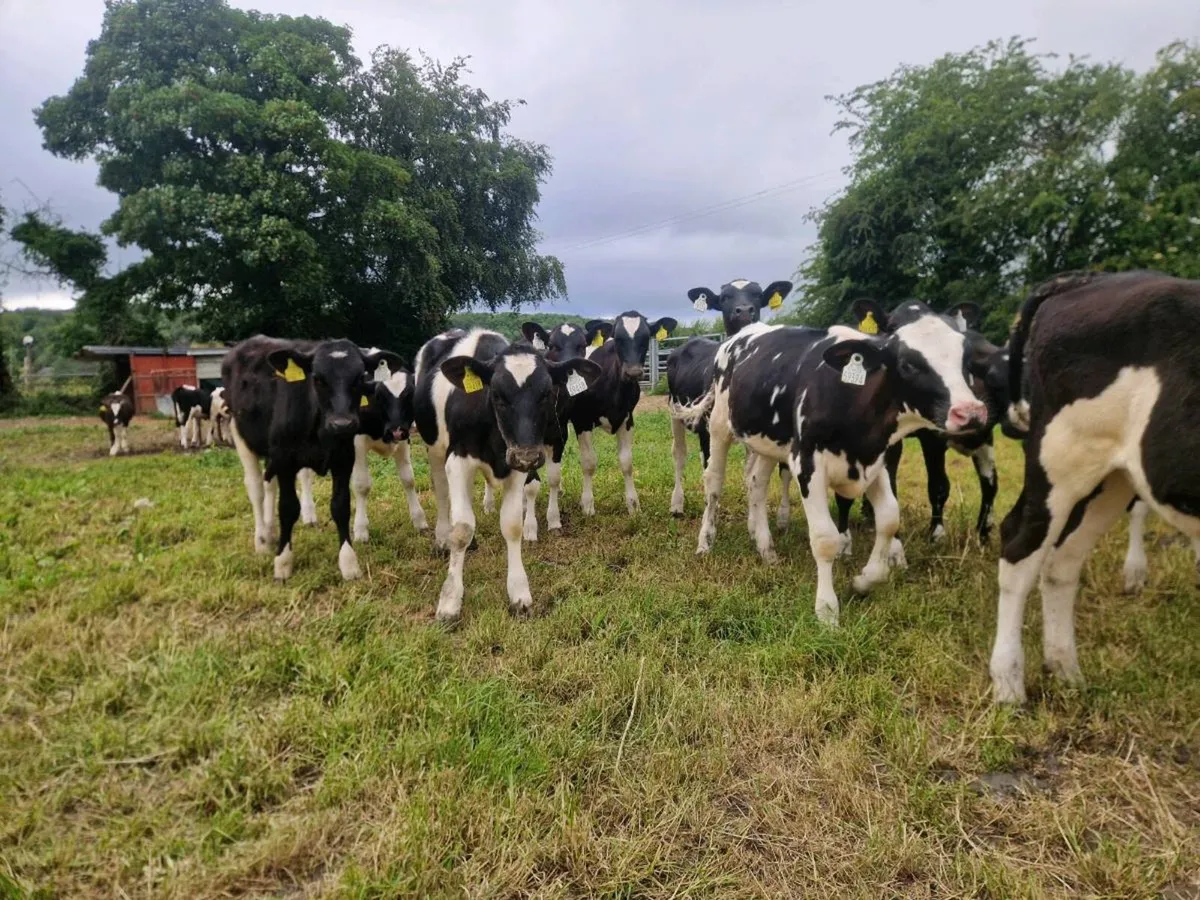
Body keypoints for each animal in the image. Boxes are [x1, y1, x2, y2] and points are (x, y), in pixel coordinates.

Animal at [222, 335, 402, 582]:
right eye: (317, 378)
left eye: (359, 377)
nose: (342, 424)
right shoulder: (285, 461)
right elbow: (288, 508)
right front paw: (283, 562)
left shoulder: (343, 459)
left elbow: (341, 506)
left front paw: (348, 563)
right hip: (240, 435)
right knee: (256, 487)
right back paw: (262, 541)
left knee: (270, 483)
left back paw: (270, 530)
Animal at [413, 328, 600, 621]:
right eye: (498, 395)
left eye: (546, 393)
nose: (527, 457)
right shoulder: (457, 460)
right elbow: (462, 528)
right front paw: (450, 600)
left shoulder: (516, 467)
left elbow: (512, 526)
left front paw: (519, 592)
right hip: (434, 448)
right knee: (442, 494)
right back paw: (442, 538)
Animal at [667, 278, 794, 520]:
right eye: (725, 297)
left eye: (757, 294)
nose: (744, 310)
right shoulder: (709, 428)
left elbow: (754, 474)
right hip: (676, 413)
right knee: (680, 455)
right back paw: (677, 504)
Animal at [675, 302, 988, 626]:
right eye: (908, 364)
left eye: (965, 359)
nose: (971, 412)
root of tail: (737, 337)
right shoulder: (807, 465)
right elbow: (825, 538)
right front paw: (827, 610)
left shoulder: (875, 461)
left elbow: (889, 519)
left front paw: (864, 581)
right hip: (720, 425)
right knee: (714, 482)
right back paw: (705, 542)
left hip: (766, 442)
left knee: (756, 485)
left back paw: (766, 549)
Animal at [989, 270, 1200, 704]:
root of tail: (1084, 279)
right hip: (1062, 458)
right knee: (1020, 547)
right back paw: (1009, 684)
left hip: (1112, 478)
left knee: (1062, 562)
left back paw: (1065, 670)